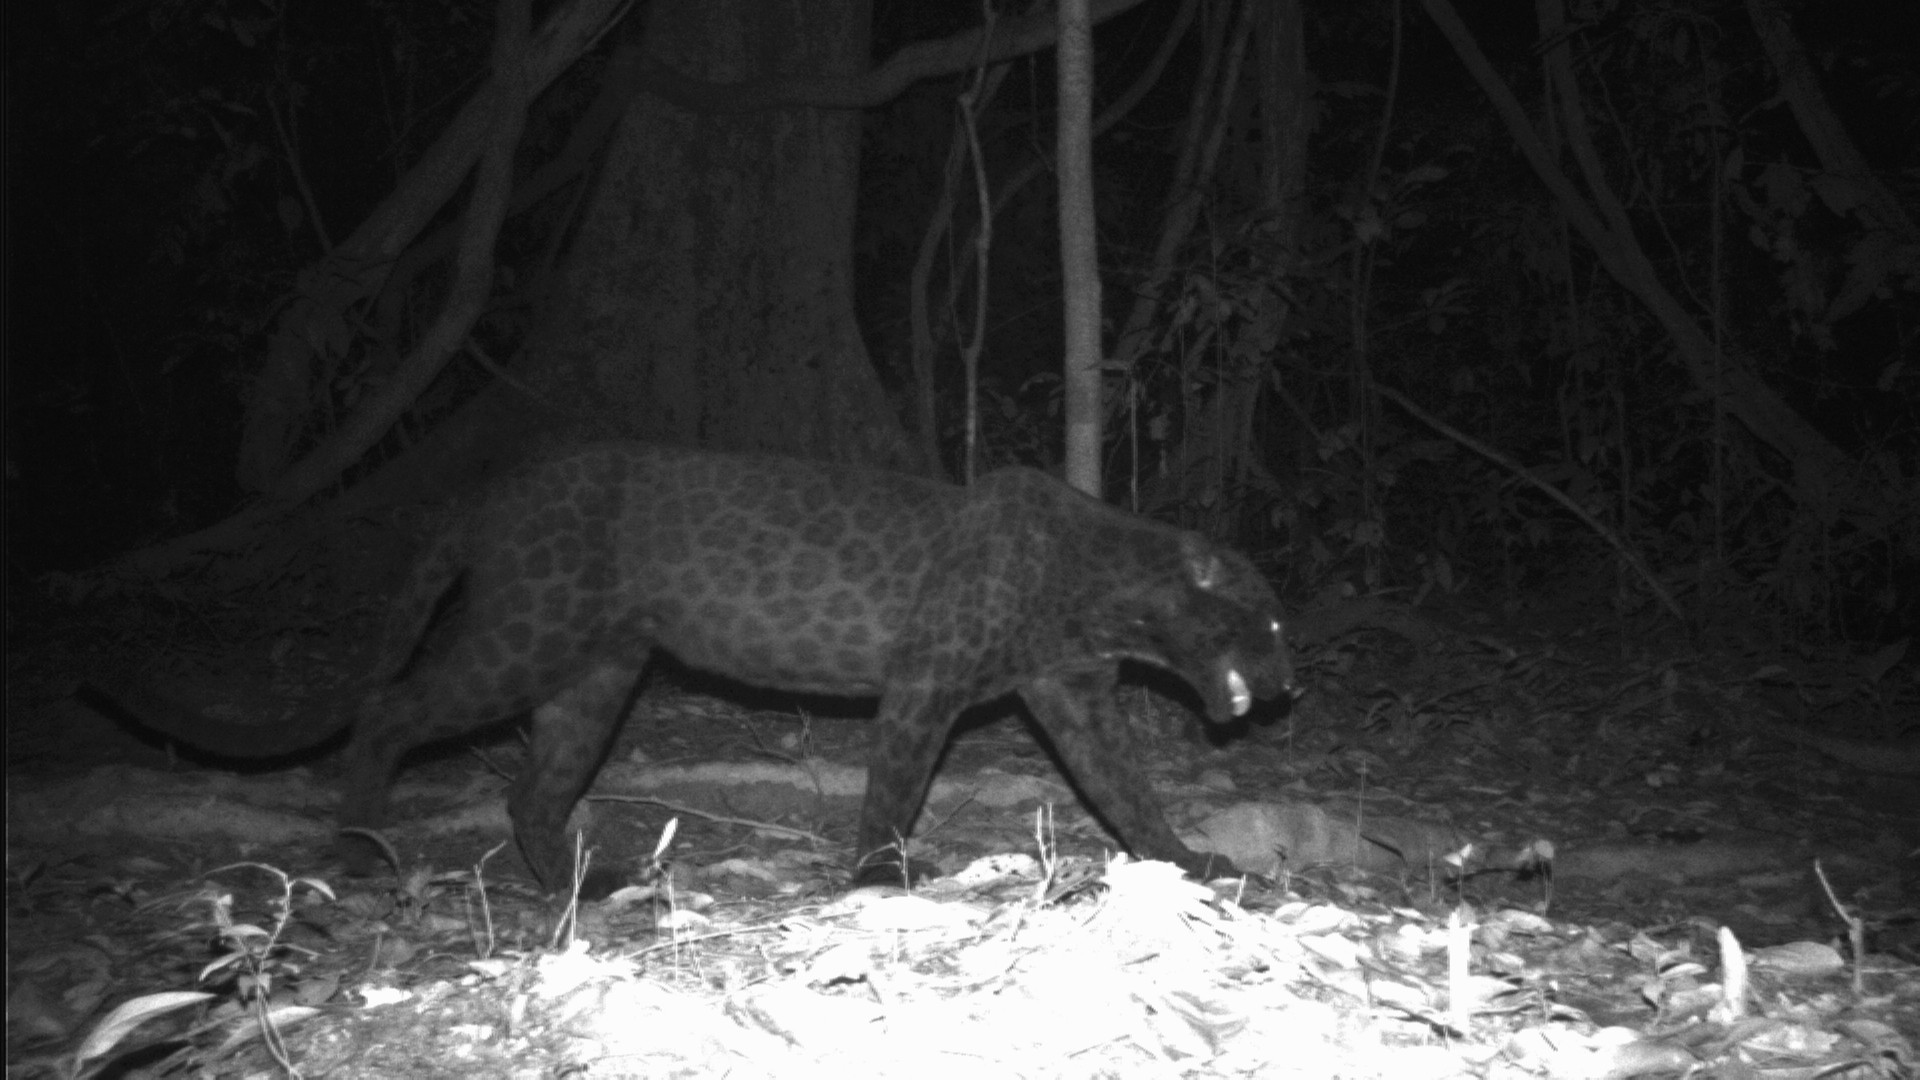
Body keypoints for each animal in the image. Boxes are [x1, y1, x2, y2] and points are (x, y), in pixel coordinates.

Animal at [106, 442, 1296, 891]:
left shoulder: (1071, 697)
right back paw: (360, 850)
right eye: (1274, 623)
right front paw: (883, 877)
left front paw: (1190, 860)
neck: (1103, 587)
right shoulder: (928, 683)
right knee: (392, 712)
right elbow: (898, 784)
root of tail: (494, 489)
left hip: (596, 675)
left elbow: (1126, 790)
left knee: (536, 786)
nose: (1294, 686)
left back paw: (590, 884)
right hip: (522, 639)